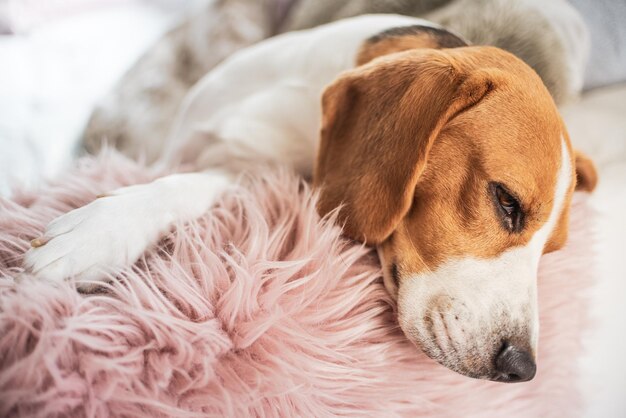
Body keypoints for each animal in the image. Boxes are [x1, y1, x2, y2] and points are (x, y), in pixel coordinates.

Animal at [23, 15, 596, 382]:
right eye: (506, 202)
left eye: (550, 254)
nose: (522, 368)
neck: (298, 102)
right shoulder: (178, 149)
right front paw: (99, 230)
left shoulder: (258, 177)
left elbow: (191, 186)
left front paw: (101, 230)